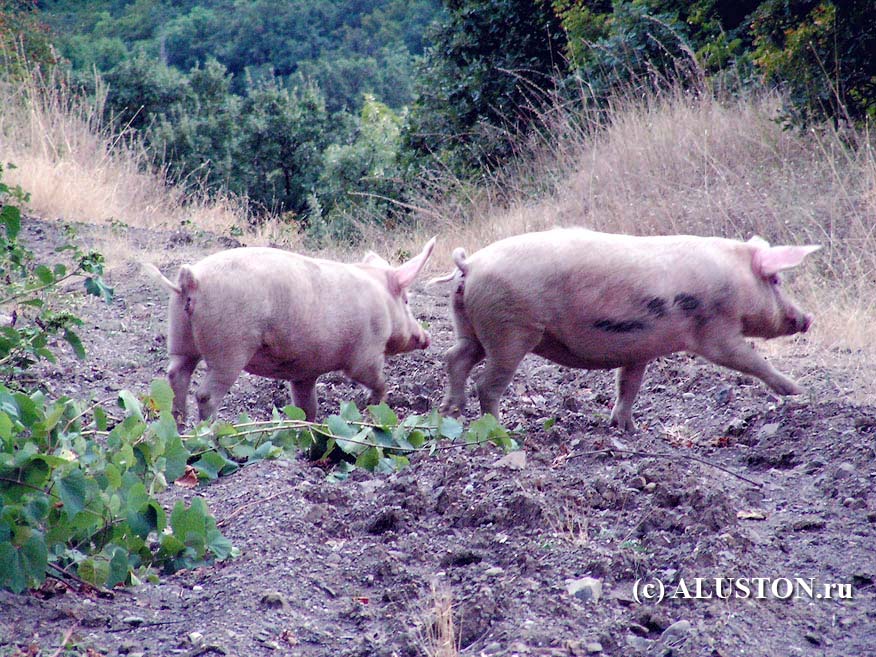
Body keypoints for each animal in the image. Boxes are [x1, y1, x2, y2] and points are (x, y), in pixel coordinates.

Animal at [144, 238, 435, 425]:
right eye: (406, 300)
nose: (426, 338)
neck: (383, 301)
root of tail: (191, 279)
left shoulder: (304, 372)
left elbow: (307, 406)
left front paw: (309, 428)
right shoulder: (366, 353)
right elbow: (375, 380)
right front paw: (372, 405)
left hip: (180, 338)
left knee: (176, 375)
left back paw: (180, 428)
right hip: (230, 347)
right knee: (205, 394)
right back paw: (213, 433)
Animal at [434, 229, 820, 431]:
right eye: (775, 280)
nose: (806, 318)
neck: (736, 280)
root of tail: (471, 264)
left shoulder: (640, 348)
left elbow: (629, 384)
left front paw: (626, 428)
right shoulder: (715, 330)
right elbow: (749, 360)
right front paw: (796, 391)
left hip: (473, 326)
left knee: (455, 357)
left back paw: (450, 411)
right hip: (510, 330)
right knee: (487, 383)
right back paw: (498, 429)